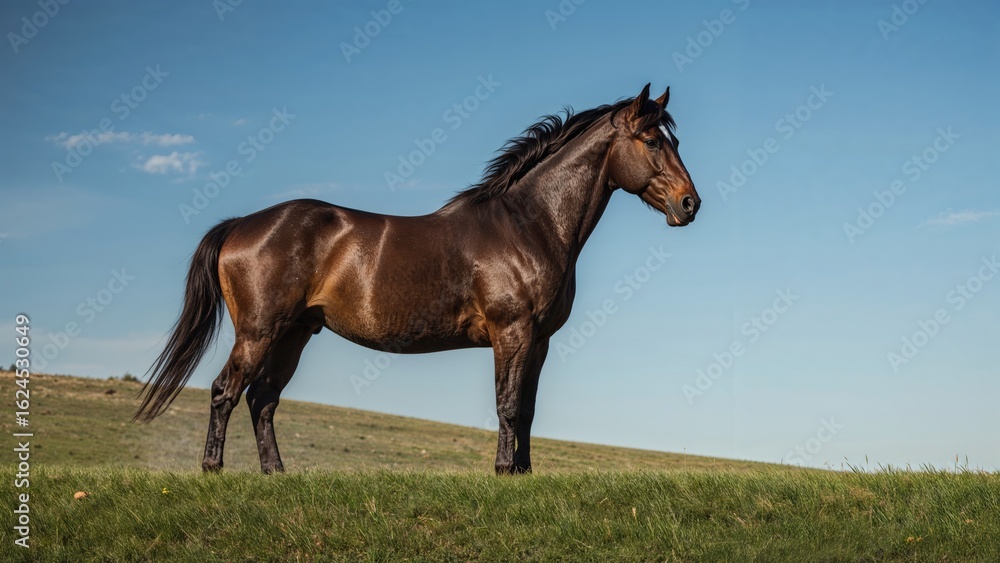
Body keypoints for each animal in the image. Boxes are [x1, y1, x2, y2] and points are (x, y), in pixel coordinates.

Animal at [134, 83, 701, 474]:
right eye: (652, 140)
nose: (689, 204)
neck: (529, 225)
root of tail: (240, 225)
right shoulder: (512, 332)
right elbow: (507, 404)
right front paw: (503, 471)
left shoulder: (538, 341)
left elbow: (528, 410)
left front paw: (523, 473)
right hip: (258, 331)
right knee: (226, 391)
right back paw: (213, 469)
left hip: (294, 333)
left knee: (262, 399)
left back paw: (276, 473)